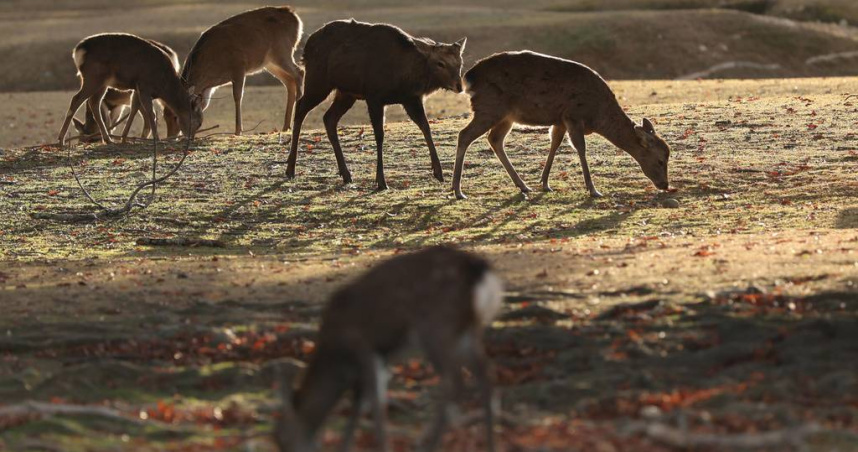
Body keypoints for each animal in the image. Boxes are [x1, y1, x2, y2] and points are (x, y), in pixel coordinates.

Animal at [56, 33, 203, 147]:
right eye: (198, 122)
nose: (191, 138)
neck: (164, 85)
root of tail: (78, 51)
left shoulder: (137, 89)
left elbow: (134, 108)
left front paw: (124, 138)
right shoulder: (144, 86)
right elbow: (151, 113)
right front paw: (157, 139)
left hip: (102, 83)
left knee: (94, 102)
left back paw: (108, 139)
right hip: (93, 77)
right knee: (76, 99)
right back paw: (61, 140)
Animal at [176, 6, 304, 137]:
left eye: (190, 118)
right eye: (175, 116)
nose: (186, 136)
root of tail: (296, 19)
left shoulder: (238, 66)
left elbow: (237, 96)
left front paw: (238, 131)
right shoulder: (209, 87)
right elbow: (205, 104)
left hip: (282, 51)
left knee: (299, 72)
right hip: (270, 63)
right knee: (289, 81)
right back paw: (286, 126)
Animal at [273, 245, 503, 452]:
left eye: (282, 439)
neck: (337, 354)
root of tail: (480, 270)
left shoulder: (364, 348)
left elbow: (374, 403)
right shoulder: (381, 358)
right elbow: (360, 405)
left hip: (437, 329)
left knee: (453, 382)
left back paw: (428, 444)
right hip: (467, 333)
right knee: (485, 375)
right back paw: (490, 444)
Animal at [286, 19, 466, 190]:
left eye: (460, 62)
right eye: (440, 63)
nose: (459, 86)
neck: (405, 76)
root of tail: (306, 49)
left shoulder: (411, 99)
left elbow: (426, 127)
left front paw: (439, 172)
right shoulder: (374, 96)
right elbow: (380, 135)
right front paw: (381, 181)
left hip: (346, 94)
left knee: (328, 118)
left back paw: (346, 174)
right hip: (318, 81)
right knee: (300, 108)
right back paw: (290, 169)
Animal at [451, 51, 671, 200]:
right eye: (660, 160)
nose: (665, 185)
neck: (597, 115)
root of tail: (469, 77)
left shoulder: (560, 120)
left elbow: (555, 144)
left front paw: (545, 183)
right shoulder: (573, 115)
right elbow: (580, 148)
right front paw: (593, 189)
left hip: (506, 116)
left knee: (494, 139)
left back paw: (523, 186)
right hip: (489, 108)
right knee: (464, 135)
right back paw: (457, 190)